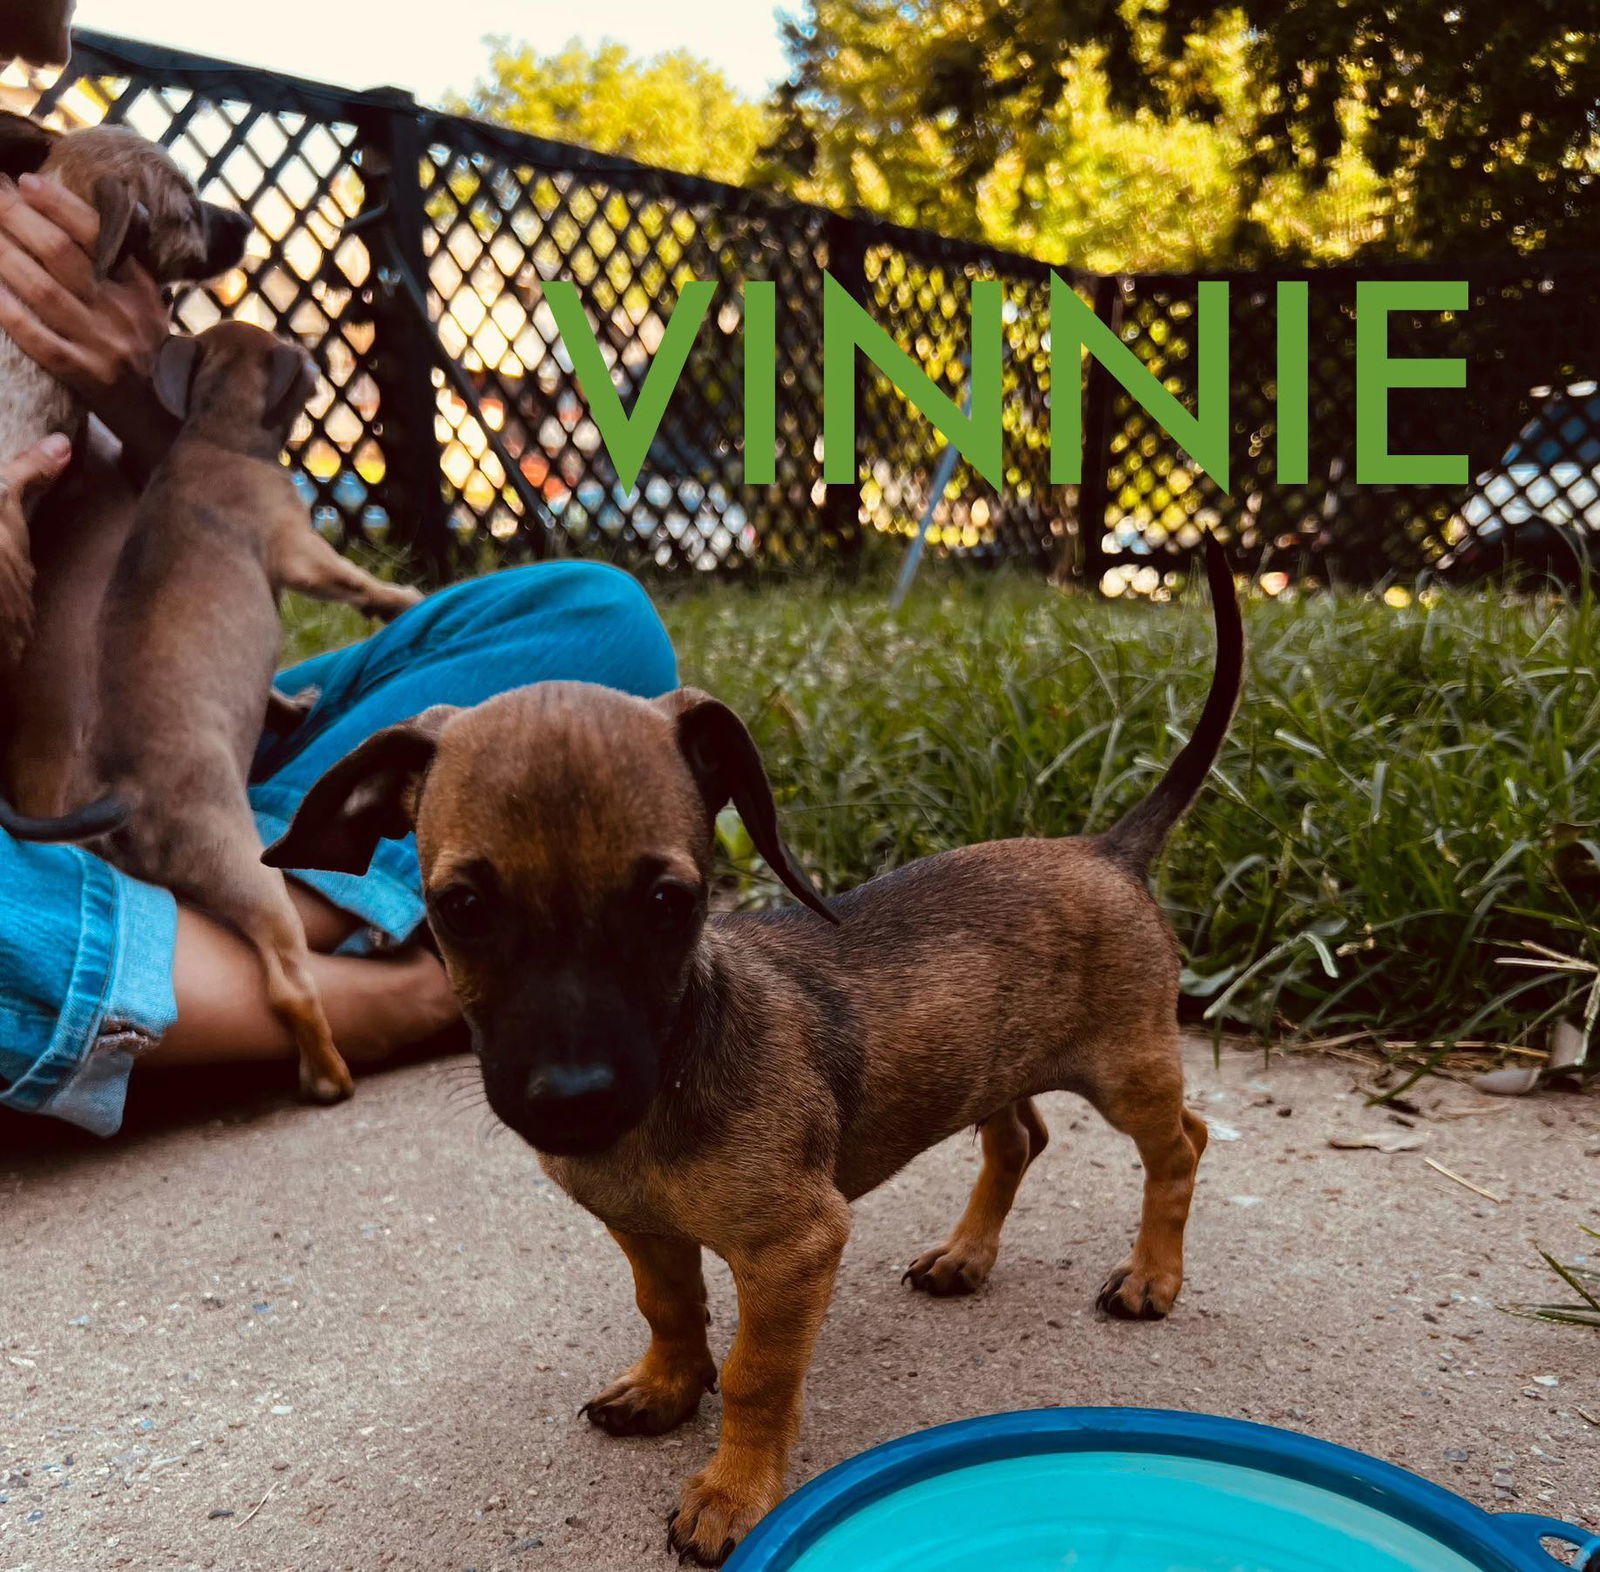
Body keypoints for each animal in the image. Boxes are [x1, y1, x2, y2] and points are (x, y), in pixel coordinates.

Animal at [0, 324, 422, 1101]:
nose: (319, 355)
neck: (211, 431)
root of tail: (125, 795)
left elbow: (275, 688)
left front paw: (292, 704)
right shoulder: (300, 549)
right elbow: (357, 581)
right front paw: (404, 598)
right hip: (250, 874)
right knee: (286, 983)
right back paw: (330, 1076)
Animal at [262, 537, 1241, 1562]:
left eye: (669, 903)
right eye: (460, 909)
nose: (574, 1098)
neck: (676, 1069)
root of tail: (1108, 849)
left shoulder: (792, 1250)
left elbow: (755, 1375)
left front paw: (733, 1493)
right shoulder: (642, 1228)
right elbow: (668, 1308)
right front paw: (664, 1387)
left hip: (1126, 1069)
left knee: (1183, 1143)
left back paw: (1153, 1275)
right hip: (991, 1066)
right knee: (1021, 1140)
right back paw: (966, 1255)